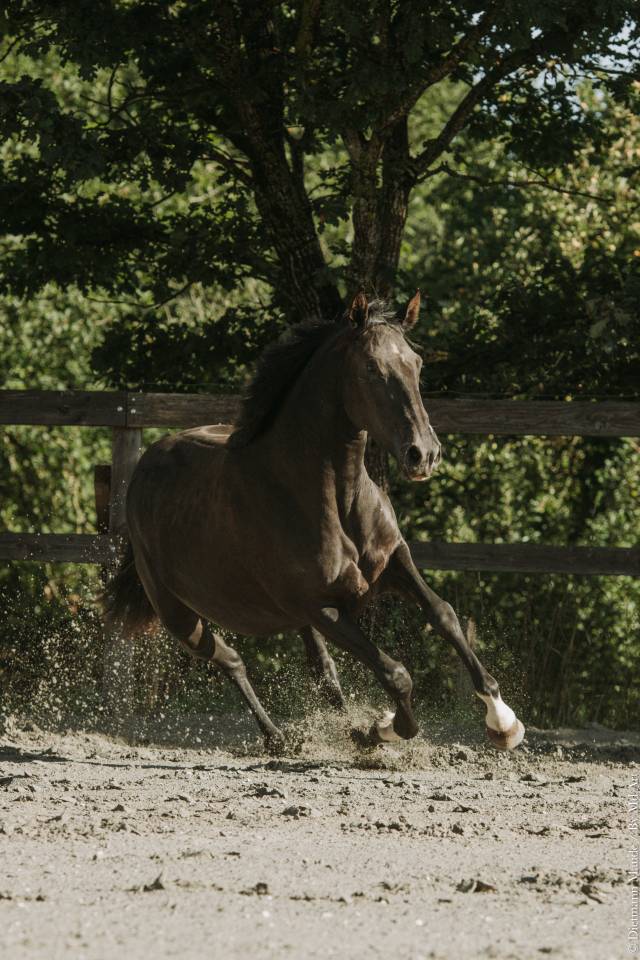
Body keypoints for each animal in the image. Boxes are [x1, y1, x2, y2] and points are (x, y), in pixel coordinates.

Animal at [104, 291, 525, 753]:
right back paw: (278, 738)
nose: (423, 454)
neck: (332, 499)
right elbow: (396, 673)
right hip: (179, 616)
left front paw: (503, 720)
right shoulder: (321, 608)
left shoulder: (393, 561)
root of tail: (145, 466)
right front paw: (381, 729)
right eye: (371, 368)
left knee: (322, 672)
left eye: (416, 363)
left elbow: (443, 614)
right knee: (231, 661)